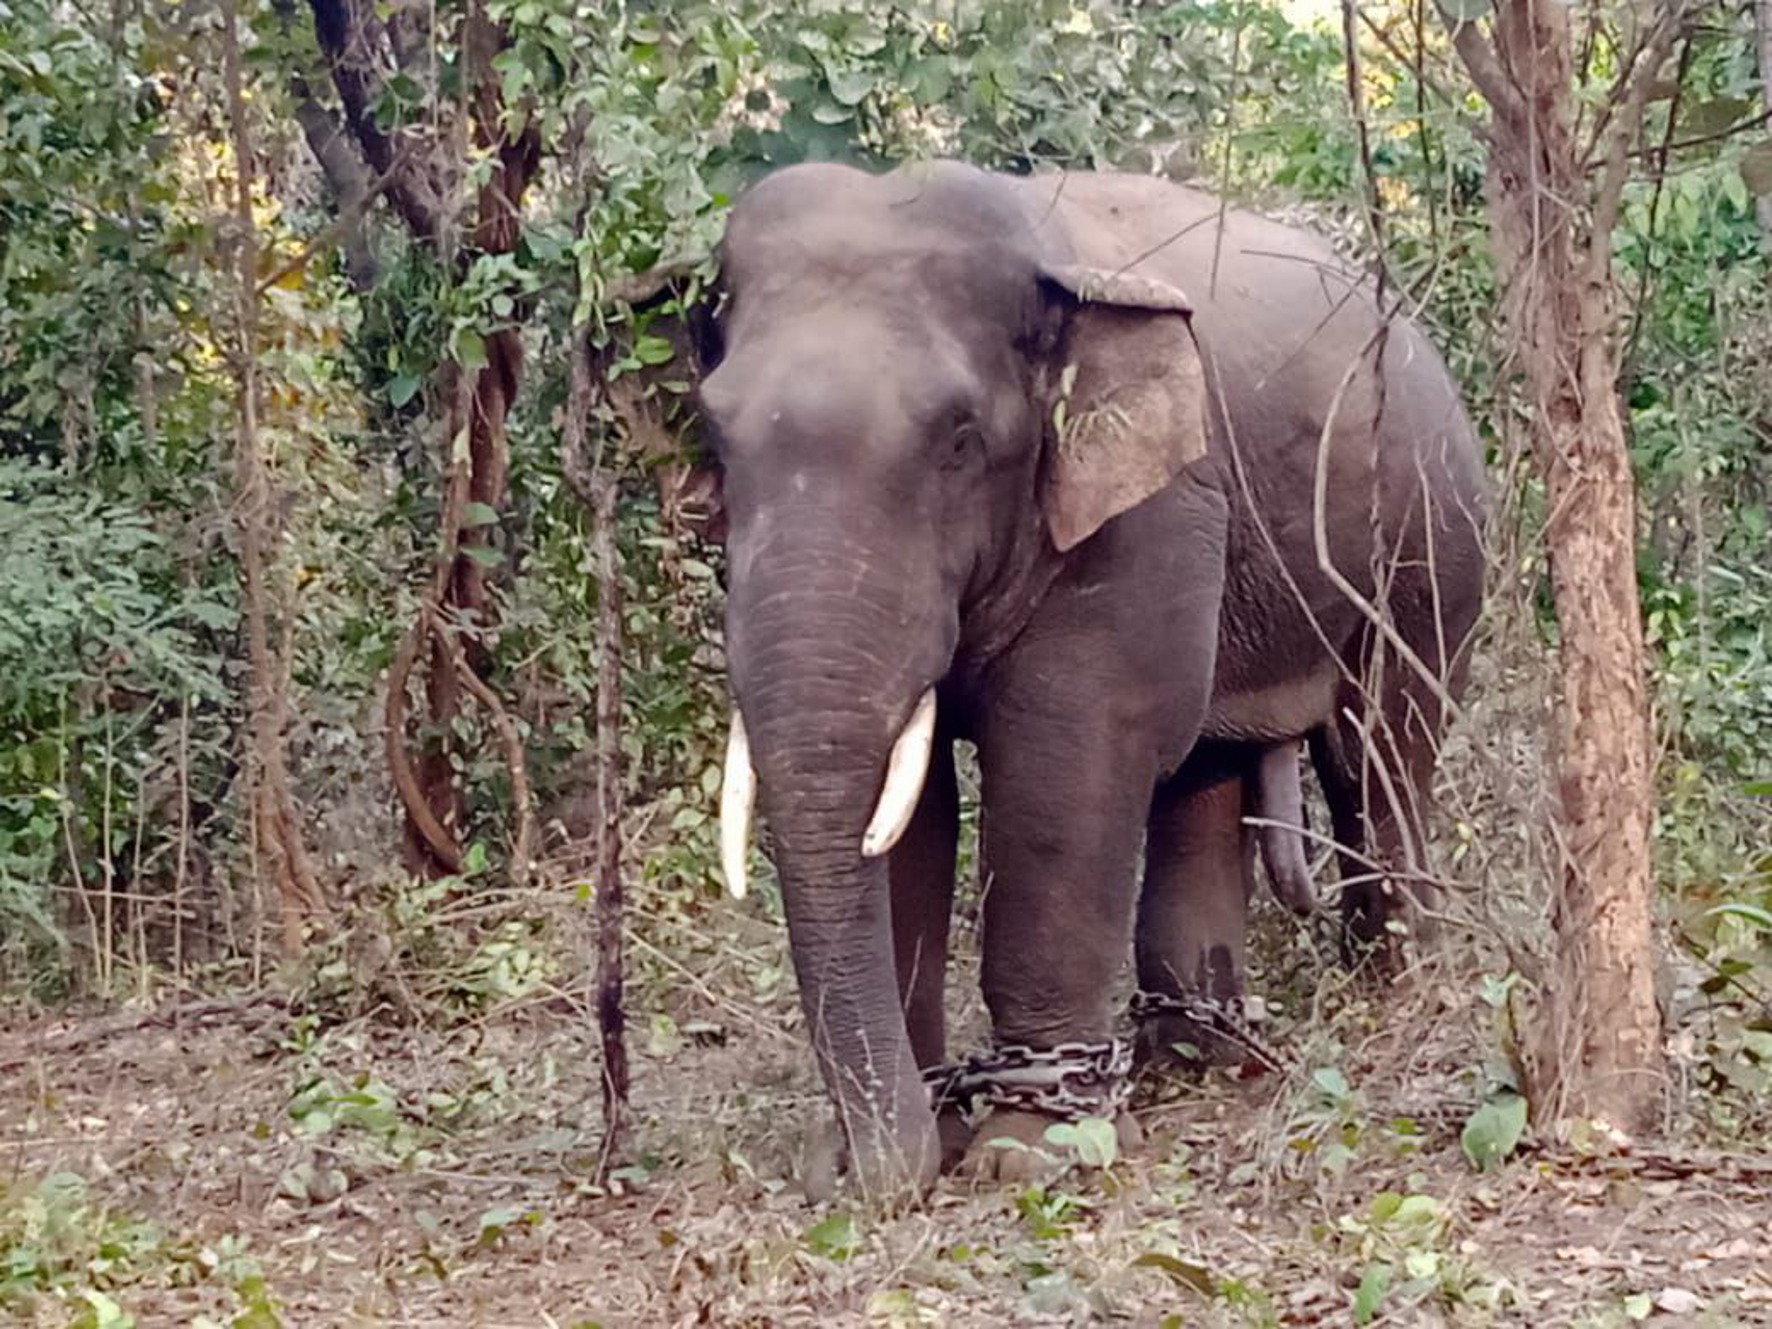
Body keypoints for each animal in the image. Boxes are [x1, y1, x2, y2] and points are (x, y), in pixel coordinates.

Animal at [698, 155, 1488, 1197]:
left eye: (959, 438)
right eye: (714, 435)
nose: (866, 1180)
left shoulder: (1149, 510)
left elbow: (1068, 763)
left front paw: (1025, 1153)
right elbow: (909, 811)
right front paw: (916, 1138)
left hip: (1434, 542)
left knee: (1378, 751)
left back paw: (1390, 984)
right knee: (1211, 768)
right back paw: (1195, 1051)